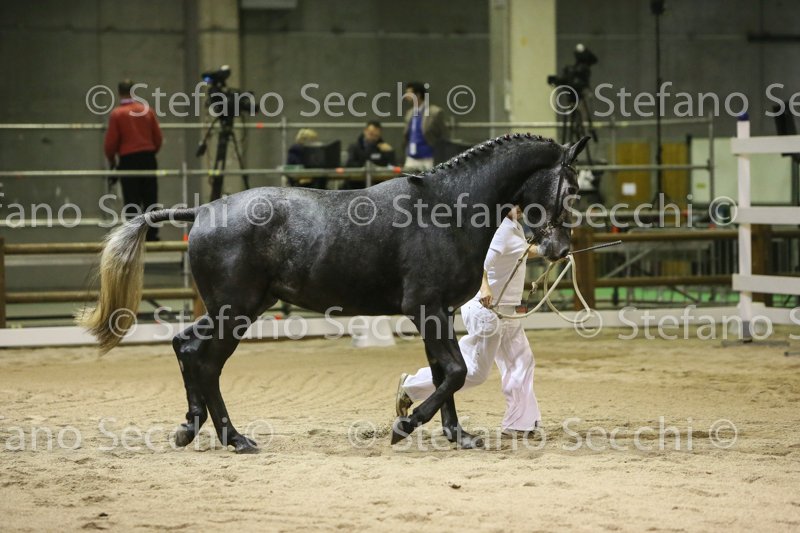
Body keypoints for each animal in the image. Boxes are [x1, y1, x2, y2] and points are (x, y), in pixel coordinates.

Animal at [78, 133, 588, 453]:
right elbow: (456, 372)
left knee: (188, 349)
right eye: (573, 187)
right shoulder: (426, 308)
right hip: (233, 310)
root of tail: (202, 210)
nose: (560, 249)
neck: (448, 209)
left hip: (238, 309)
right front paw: (404, 426)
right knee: (202, 360)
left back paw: (193, 427)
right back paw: (233, 438)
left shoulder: (435, 312)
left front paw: (455, 435)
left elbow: (447, 373)